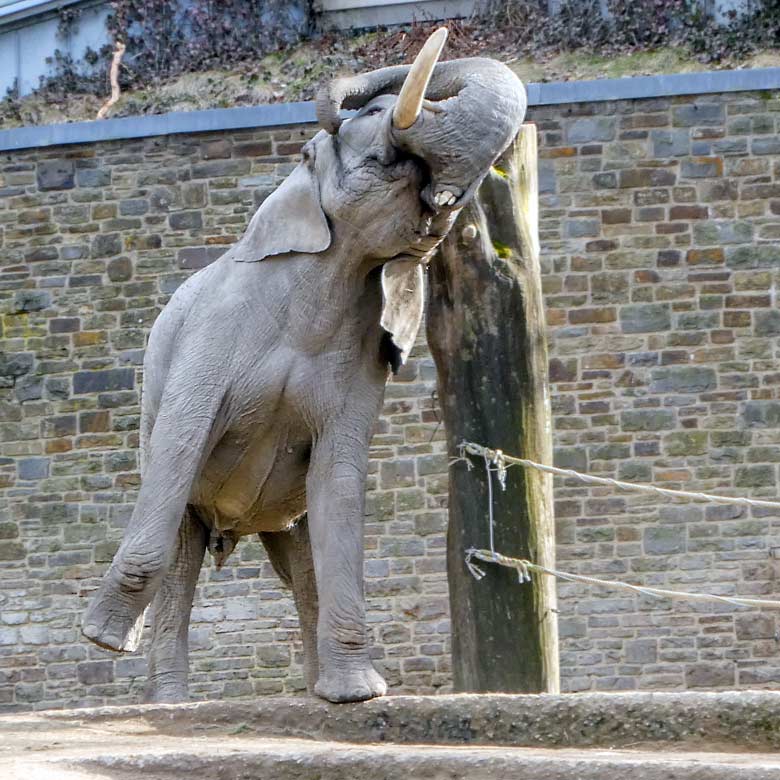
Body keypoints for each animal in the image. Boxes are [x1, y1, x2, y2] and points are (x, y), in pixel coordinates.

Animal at [80, 27, 532, 704]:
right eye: (372, 126)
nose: (342, 99)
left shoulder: (363, 365)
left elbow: (339, 482)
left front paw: (360, 695)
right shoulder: (212, 335)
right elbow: (180, 449)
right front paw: (102, 638)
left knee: (301, 560)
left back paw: (320, 691)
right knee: (187, 547)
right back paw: (172, 702)